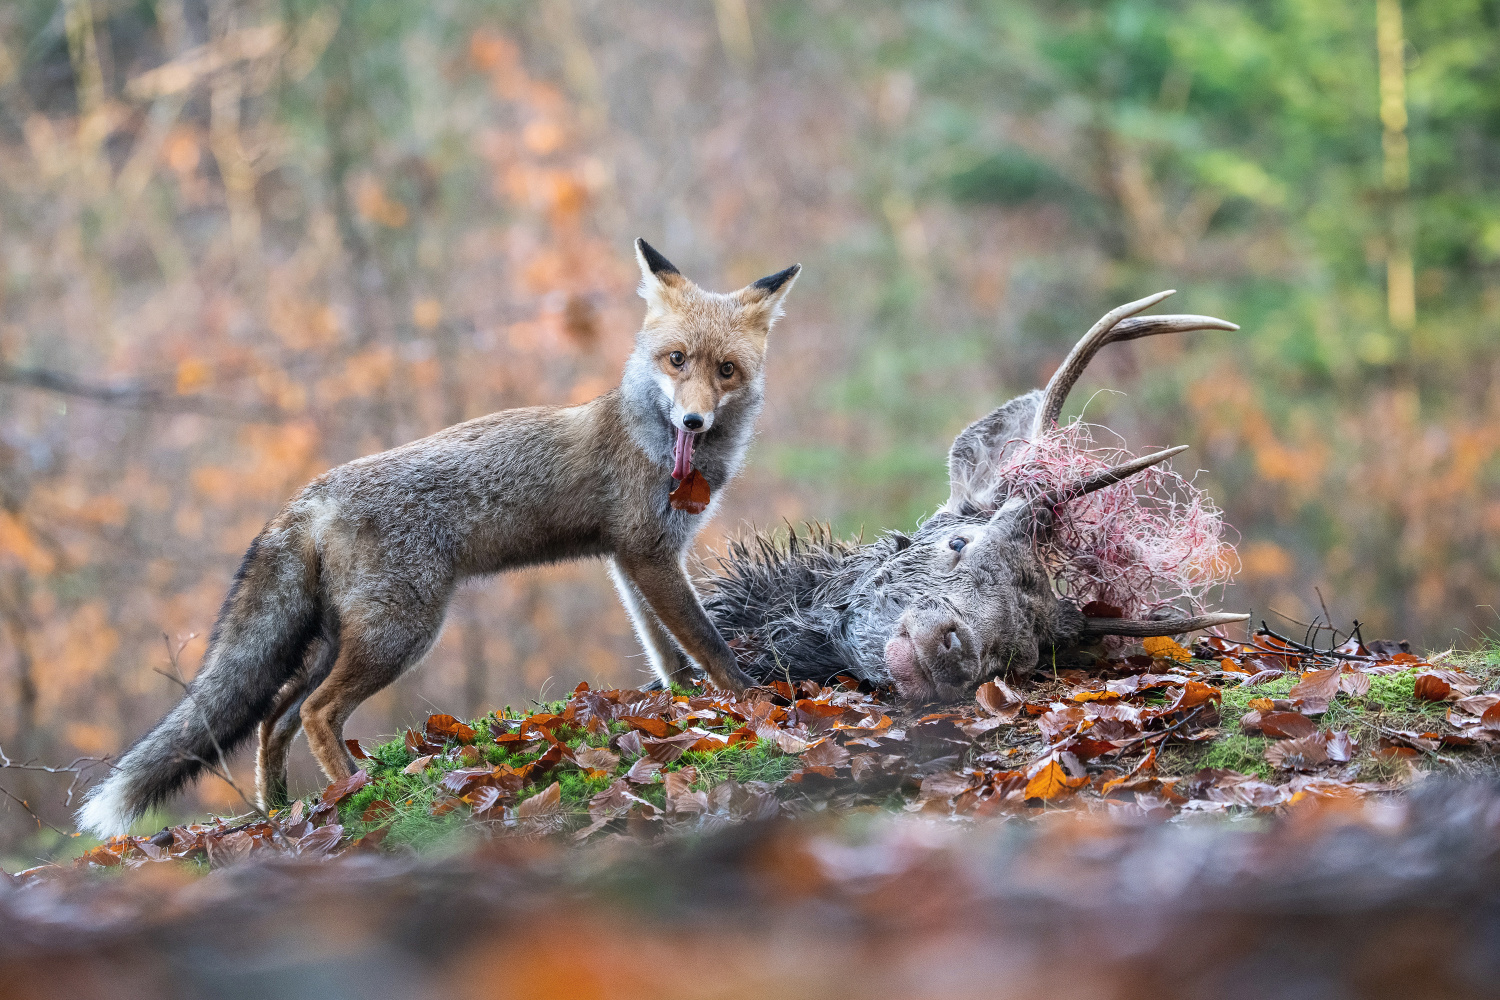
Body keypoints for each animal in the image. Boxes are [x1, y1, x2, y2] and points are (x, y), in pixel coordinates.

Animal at [79, 238, 810, 833]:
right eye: (676, 359)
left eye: (726, 370)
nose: (693, 421)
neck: (656, 443)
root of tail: (311, 494)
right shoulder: (650, 557)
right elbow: (709, 645)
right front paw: (757, 702)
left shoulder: (633, 558)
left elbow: (666, 653)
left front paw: (683, 707)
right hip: (401, 632)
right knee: (315, 711)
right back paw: (354, 791)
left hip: (344, 635)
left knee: (275, 714)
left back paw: (279, 806)